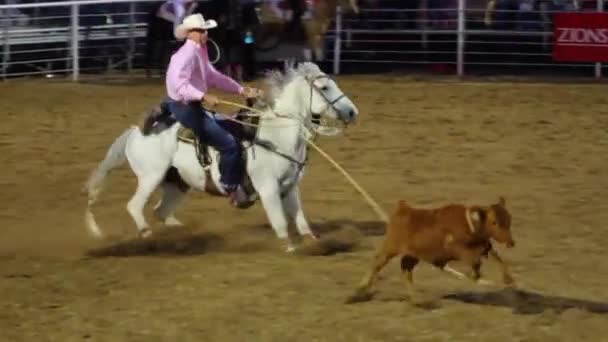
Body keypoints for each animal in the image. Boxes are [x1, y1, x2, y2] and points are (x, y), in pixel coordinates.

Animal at [83, 62, 358, 252]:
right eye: (324, 87)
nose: (352, 112)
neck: (276, 134)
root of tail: (135, 131)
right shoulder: (267, 187)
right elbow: (279, 220)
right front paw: (289, 247)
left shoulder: (290, 187)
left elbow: (300, 219)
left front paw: (313, 242)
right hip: (151, 176)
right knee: (135, 206)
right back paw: (147, 234)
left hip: (177, 183)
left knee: (161, 211)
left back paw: (179, 234)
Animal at [350, 196, 516, 304]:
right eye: (494, 222)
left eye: (509, 219)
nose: (511, 242)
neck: (470, 224)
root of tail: (404, 209)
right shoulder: (458, 249)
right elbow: (475, 261)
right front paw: (474, 275)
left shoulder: (484, 246)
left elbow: (497, 257)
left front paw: (508, 279)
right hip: (391, 248)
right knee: (377, 263)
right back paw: (356, 292)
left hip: (412, 256)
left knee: (406, 272)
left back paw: (417, 301)